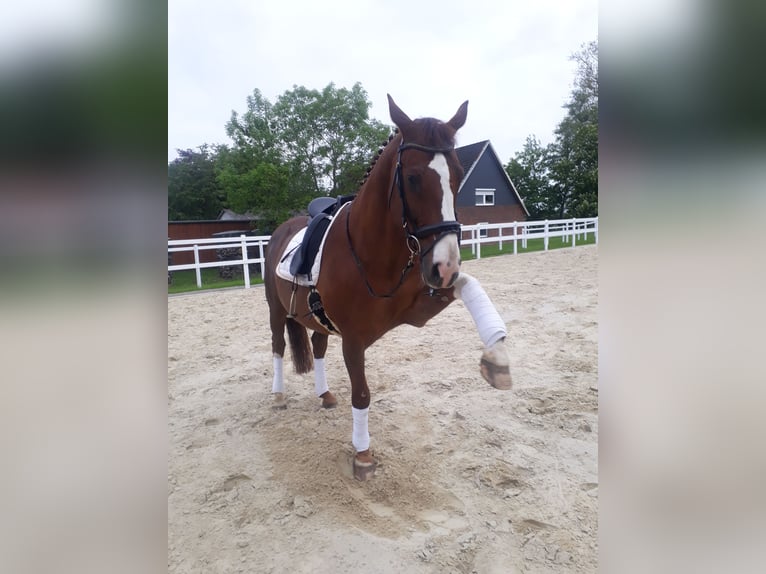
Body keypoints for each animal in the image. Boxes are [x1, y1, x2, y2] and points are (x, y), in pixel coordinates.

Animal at [264, 95, 512, 480]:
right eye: (412, 177)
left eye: (458, 175)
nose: (445, 265)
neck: (370, 254)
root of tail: (282, 229)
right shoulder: (353, 339)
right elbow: (362, 395)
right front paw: (363, 455)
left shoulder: (419, 309)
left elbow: (469, 284)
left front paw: (497, 357)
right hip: (276, 310)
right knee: (277, 347)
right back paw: (278, 397)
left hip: (317, 319)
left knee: (317, 348)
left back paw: (325, 395)